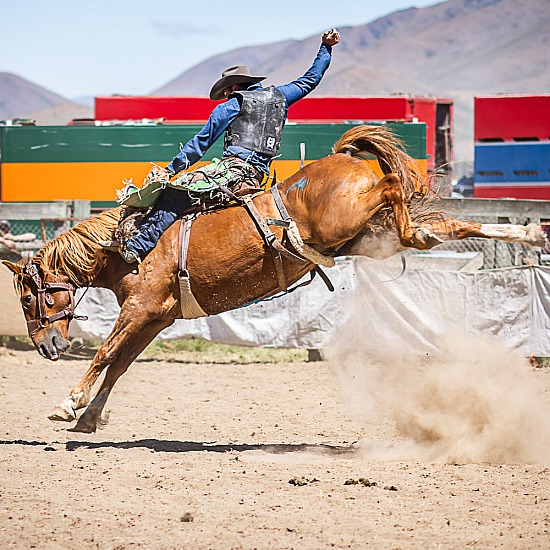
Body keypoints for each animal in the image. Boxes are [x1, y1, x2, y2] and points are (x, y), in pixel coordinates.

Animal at [3, 126, 548, 436]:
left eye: (28, 296)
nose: (47, 346)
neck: (127, 243)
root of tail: (341, 157)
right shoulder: (156, 318)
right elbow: (118, 365)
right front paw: (90, 417)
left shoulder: (140, 309)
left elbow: (103, 355)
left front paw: (67, 405)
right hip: (368, 235)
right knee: (443, 228)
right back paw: (524, 231)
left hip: (353, 217)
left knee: (397, 186)